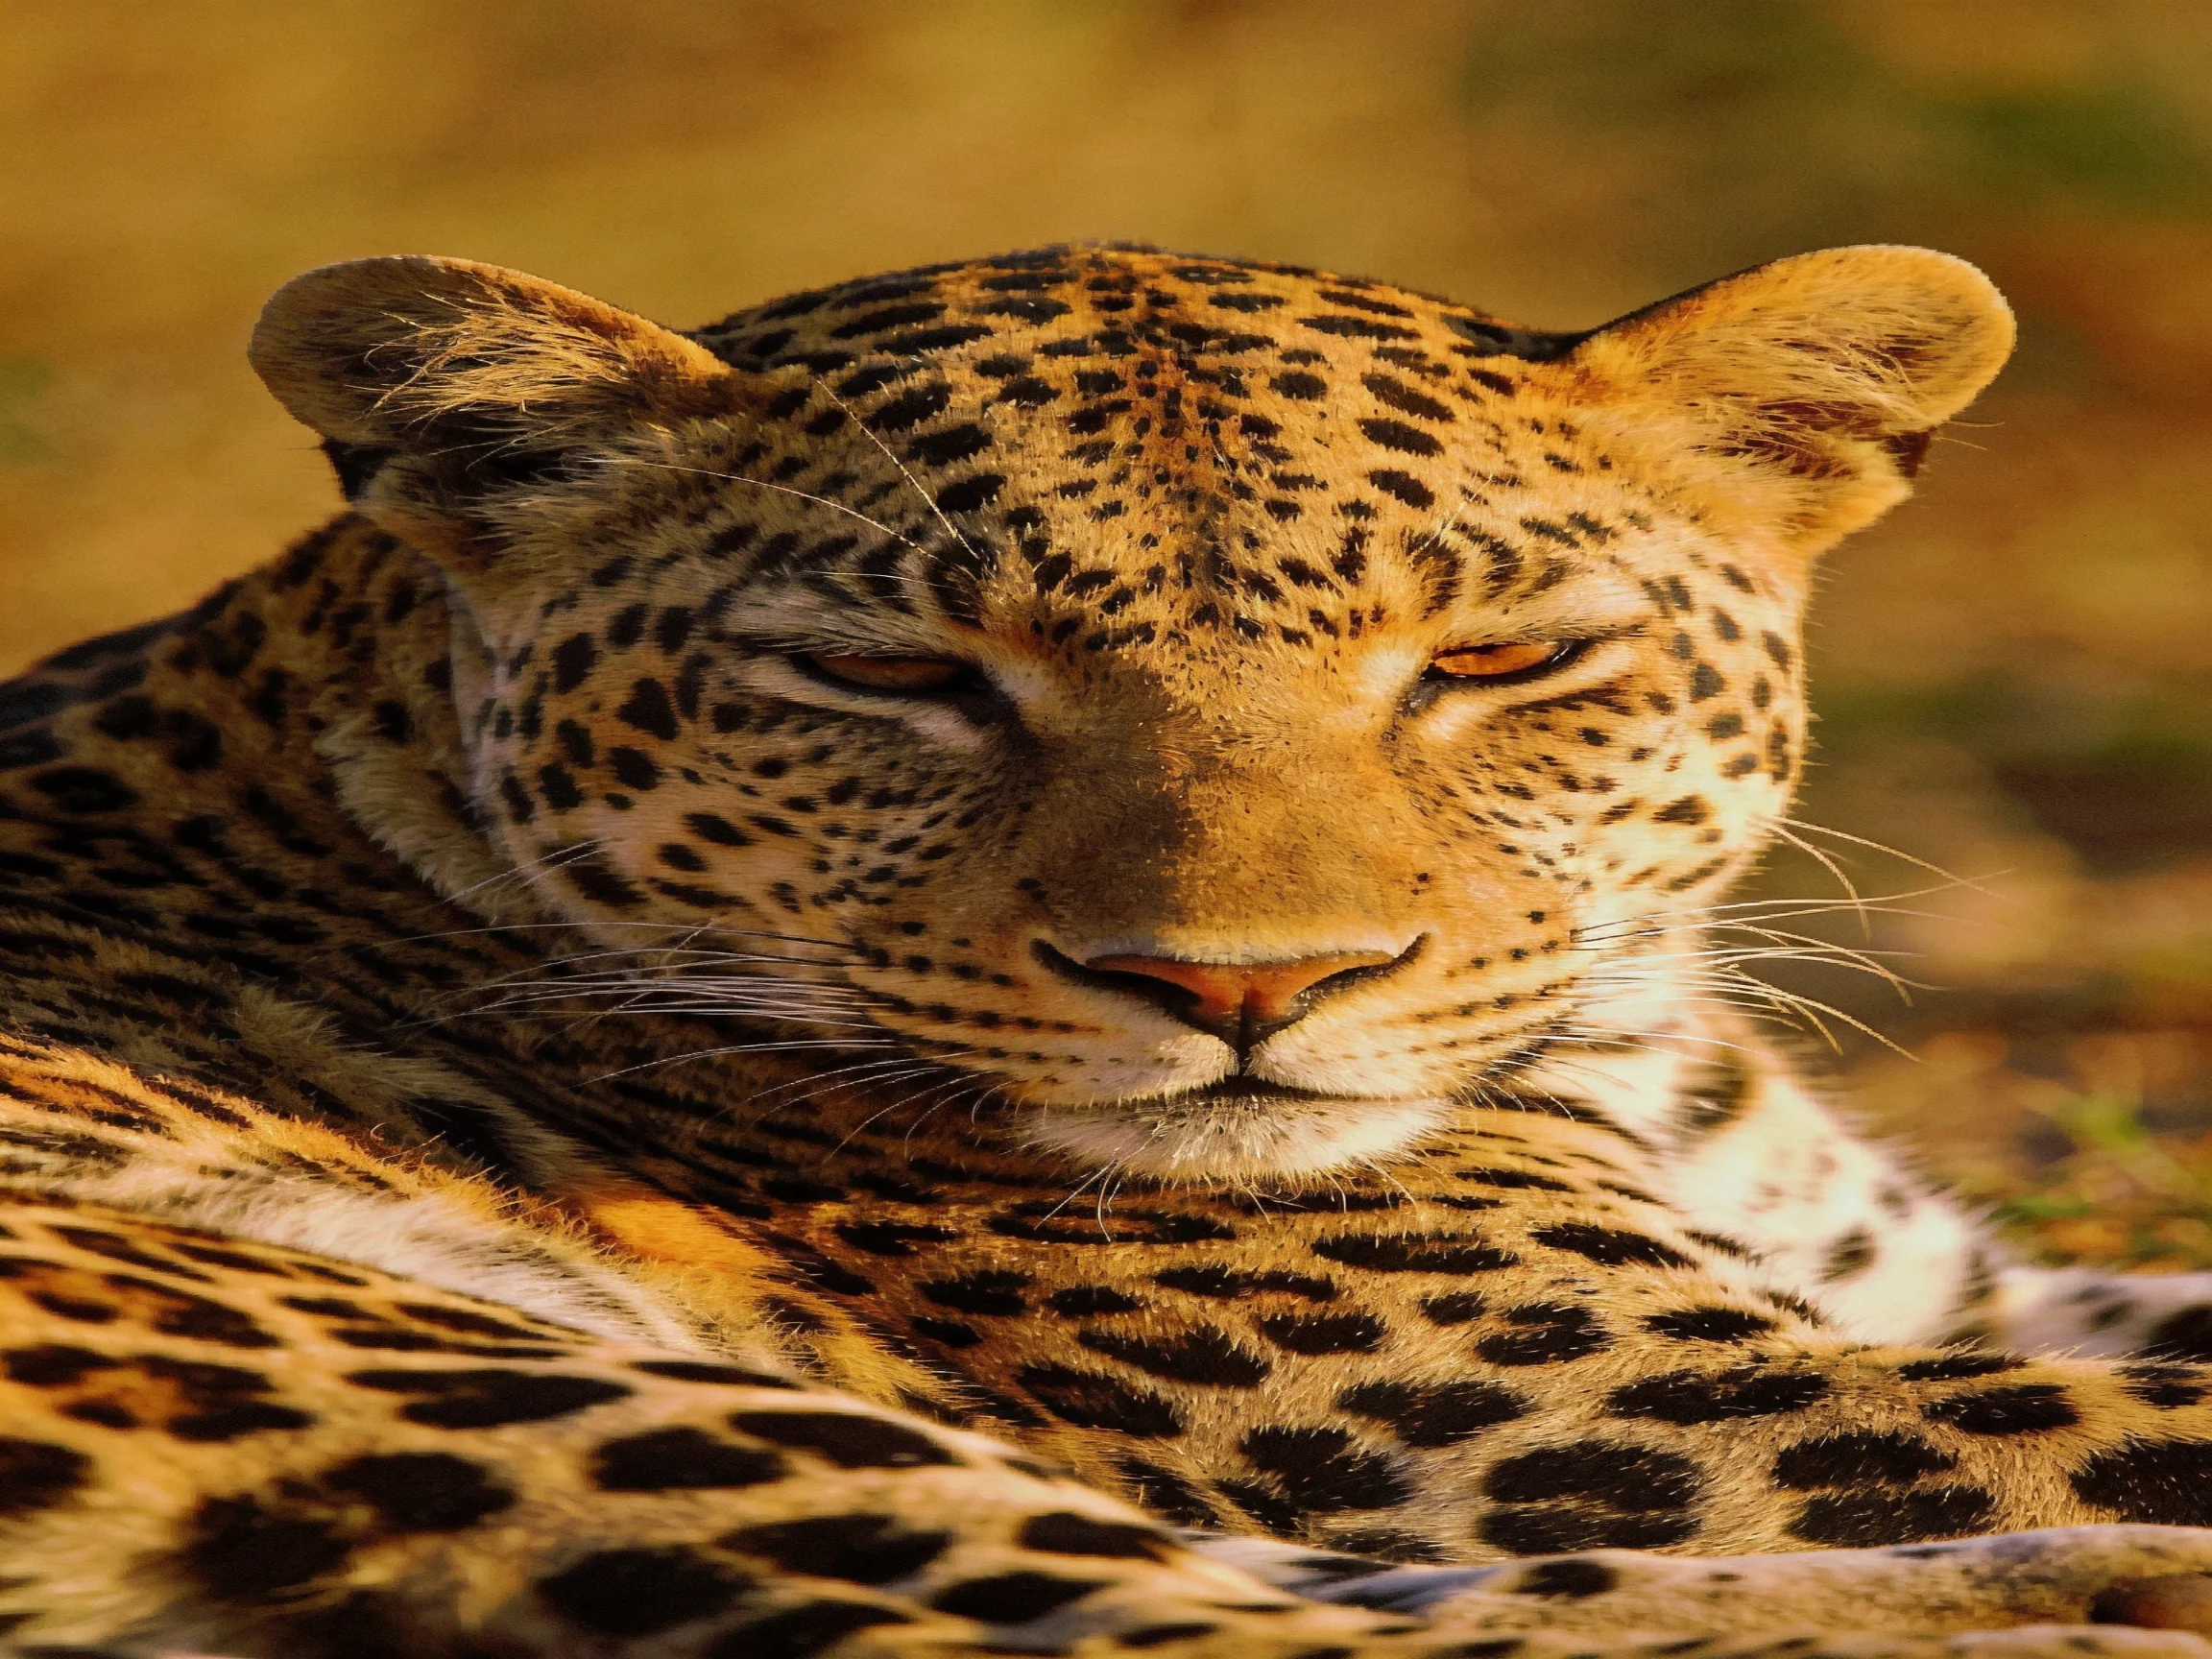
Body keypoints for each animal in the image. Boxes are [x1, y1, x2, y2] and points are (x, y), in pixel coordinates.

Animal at [10, 239, 2212, 1659]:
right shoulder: (1630, 1406)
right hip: (398, 1351)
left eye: (1495, 661)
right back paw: (2097, 1608)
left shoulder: (1933, 1292)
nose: (1241, 991)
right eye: (893, 675)